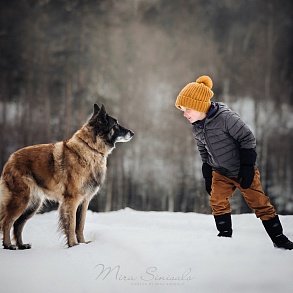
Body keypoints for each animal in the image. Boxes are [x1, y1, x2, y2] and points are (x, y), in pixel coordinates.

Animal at [0, 104, 133, 248]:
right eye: (115, 125)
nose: (132, 133)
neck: (91, 149)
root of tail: (10, 159)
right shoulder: (72, 200)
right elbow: (72, 224)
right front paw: (73, 244)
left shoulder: (84, 201)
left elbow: (80, 225)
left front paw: (83, 243)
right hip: (21, 199)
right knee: (7, 221)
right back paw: (8, 245)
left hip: (33, 204)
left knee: (18, 224)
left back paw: (21, 245)